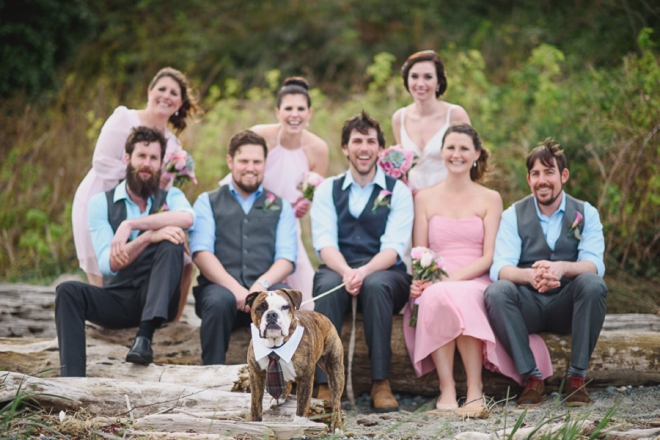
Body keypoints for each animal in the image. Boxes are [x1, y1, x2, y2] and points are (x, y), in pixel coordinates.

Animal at [244, 288, 346, 430]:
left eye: (285, 307)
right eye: (260, 308)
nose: (272, 314)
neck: (275, 345)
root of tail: (322, 316)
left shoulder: (305, 378)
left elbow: (302, 405)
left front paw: (298, 426)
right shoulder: (256, 374)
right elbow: (255, 401)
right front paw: (253, 421)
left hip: (335, 368)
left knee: (336, 400)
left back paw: (336, 425)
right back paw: (280, 397)